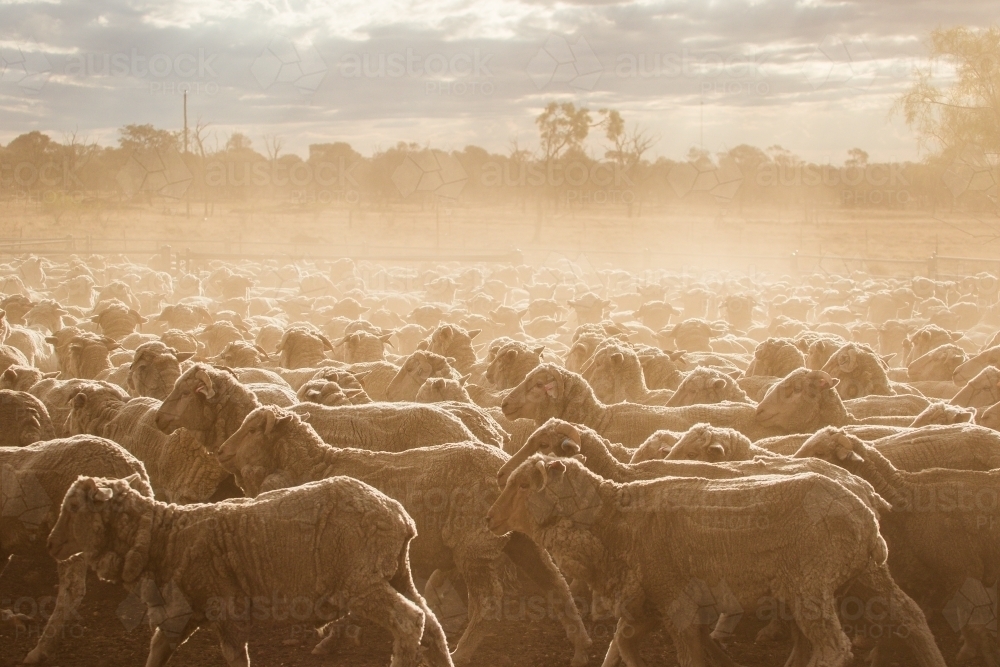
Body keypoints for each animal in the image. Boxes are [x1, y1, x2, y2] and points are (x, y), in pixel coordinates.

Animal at [47, 474, 454, 667]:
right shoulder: (183, 614)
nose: (51, 545)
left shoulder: (225, 609)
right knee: (432, 623)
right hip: (395, 571)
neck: (165, 536)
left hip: (362, 580)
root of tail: (400, 516)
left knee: (409, 621)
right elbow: (158, 650)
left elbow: (234, 656)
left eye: (74, 507)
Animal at [216, 408, 588, 667]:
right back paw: (581, 647)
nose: (220, 452)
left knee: (489, 601)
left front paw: (333, 638)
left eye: (252, 430)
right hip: (522, 540)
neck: (316, 466)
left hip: (474, 543)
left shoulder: (349, 560)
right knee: (557, 585)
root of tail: (506, 467)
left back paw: (462, 651)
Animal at [492, 456, 944, 667]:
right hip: (865, 573)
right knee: (910, 615)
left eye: (523, 484)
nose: (490, 519)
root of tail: (864, 506)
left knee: (834, 645)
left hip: (812, 582)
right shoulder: (649, 599)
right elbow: (623, 641)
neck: (614, 522)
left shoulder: (675, 601)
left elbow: (685, 656)